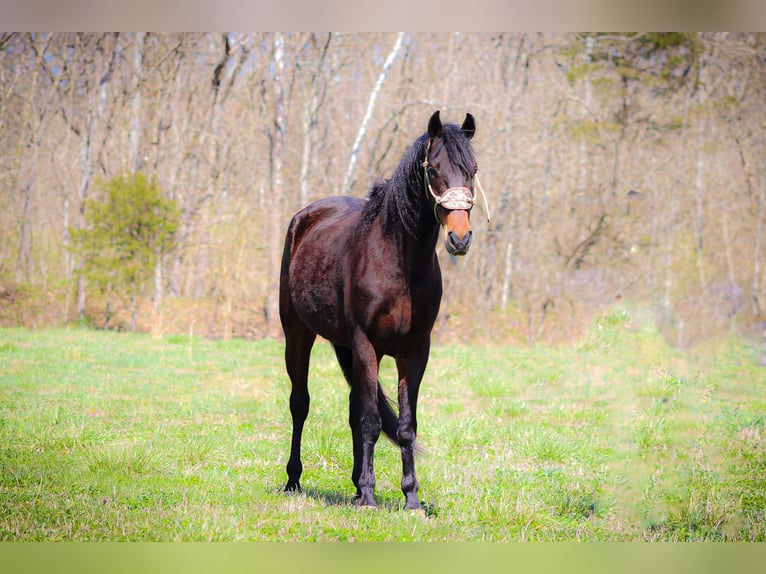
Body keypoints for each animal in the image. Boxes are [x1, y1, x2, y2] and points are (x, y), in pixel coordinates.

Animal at [280, 110, 486, 510]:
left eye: (472, 169)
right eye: (434, 169)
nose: (460, 238)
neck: (399, 263)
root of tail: (304, 218)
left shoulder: (415, 351)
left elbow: (404, 425)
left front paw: (410, 499)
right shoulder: (366, 346)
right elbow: (372, 421)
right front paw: (370, 498)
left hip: (344, 347)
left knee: (353, 409)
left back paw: (354, 484)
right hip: (298, 334)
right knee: (300, 404)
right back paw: (294, 480)